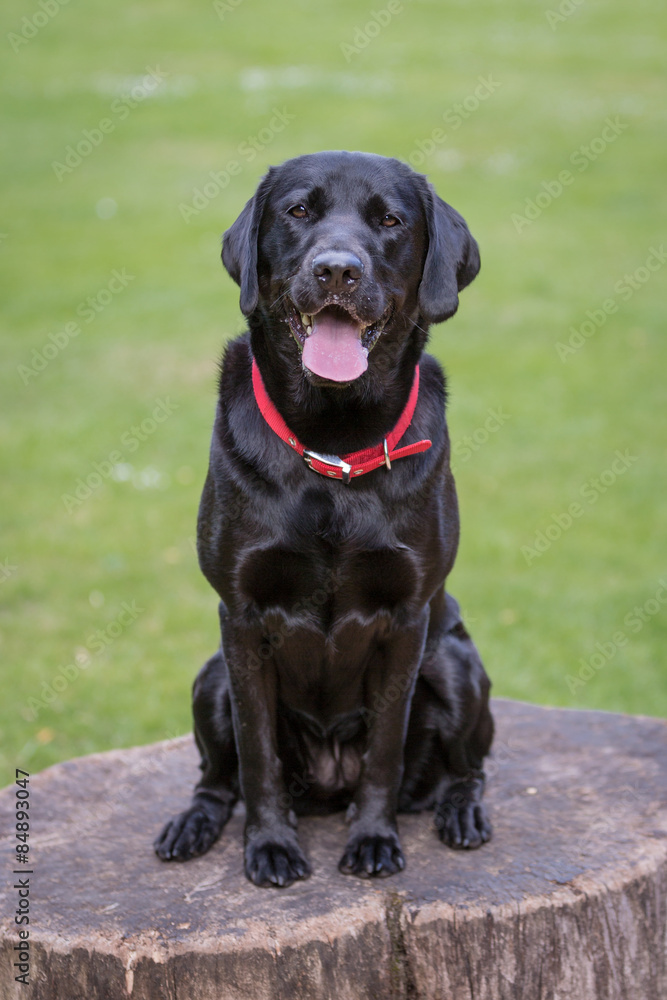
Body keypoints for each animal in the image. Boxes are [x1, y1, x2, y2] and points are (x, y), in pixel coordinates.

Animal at [154, 146, 494, 884]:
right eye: (299, 211)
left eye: (390, 220)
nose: (337, 269)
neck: (334, 441)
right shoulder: (241, 618)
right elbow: (256, 753)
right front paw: (270, 845)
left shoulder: (407, 619)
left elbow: (384, 751)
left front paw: (373, 838)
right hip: (210, 677)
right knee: (215, 778)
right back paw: (192, 824)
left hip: (455, 663)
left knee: (468, 767)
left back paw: (461, 811)